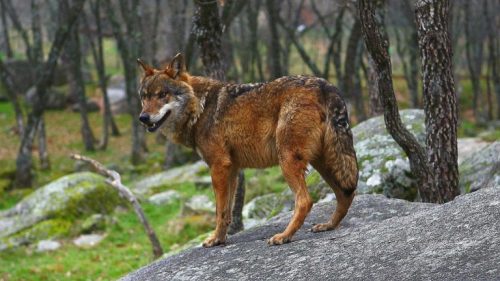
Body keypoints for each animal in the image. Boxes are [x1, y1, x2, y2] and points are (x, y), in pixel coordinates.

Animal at [135, 53, 358, 246]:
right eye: (145, 97)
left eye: (162, 95)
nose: (143, 118)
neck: (199, 107)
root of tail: (325, 85)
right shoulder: (232, 169)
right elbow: (227, 211)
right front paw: (220, 239)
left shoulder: (218, 166)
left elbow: (219, 211)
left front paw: (215, 239)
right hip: (322, 161)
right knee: (345, 194)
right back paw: (328, 225)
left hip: (288, 160)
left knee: (305, 201)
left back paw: (284, 236)